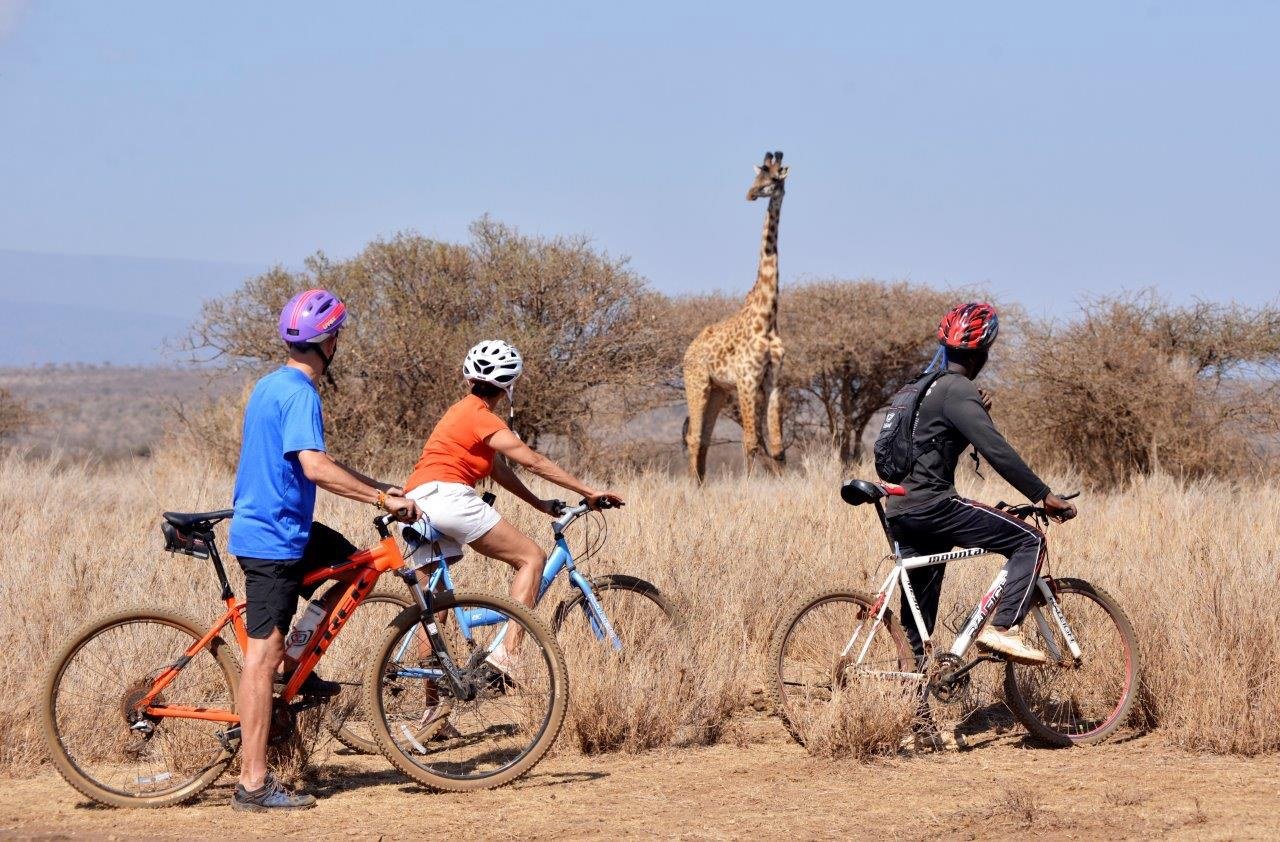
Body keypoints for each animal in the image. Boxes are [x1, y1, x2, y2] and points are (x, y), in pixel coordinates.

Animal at [682, 150, 789, 483]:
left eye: (774, 178)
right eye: (756, 176)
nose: (750, 194)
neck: (767, 317)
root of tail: (687, 352)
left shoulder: (774, 380)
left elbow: (777, 446)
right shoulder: (746, 379)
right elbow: (751, 441)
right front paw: (748, 485)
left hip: (717, 391)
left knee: (703, 437)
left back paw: (702, 485)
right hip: (698, 383)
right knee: (694, 437)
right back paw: (693, 486)